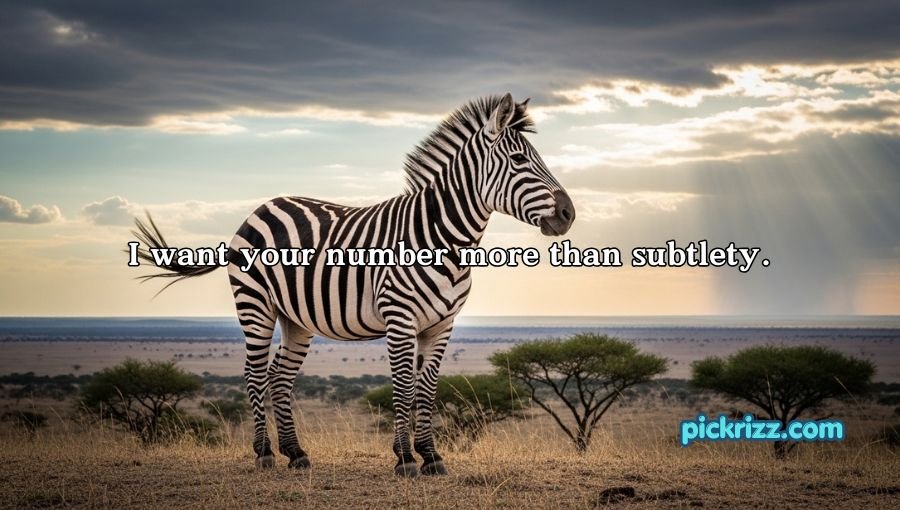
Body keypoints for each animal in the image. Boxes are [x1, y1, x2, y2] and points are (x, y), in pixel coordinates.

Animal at [132, 93, 575, 477]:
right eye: (519, 159)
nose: (568, 213)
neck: (441, 238)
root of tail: (261, 207)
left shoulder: (441, 324)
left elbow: (427, 389)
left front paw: (430, 456)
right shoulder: (399, 318)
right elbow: (403, 387)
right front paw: (405, 459)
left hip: (297, 319)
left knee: (279, 376)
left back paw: (296, 453)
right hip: (255, 304)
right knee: (254, 373)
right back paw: (264, 454)